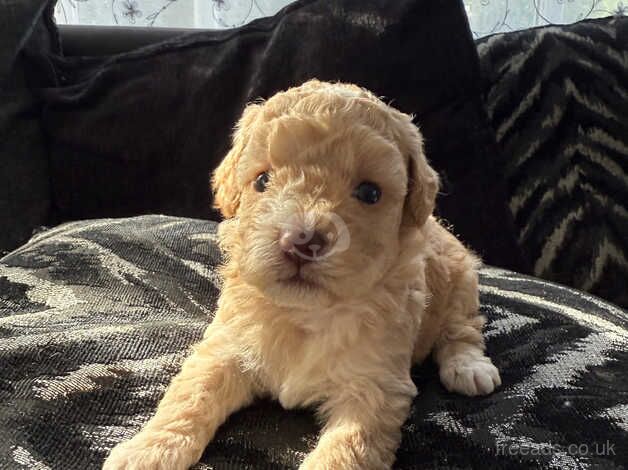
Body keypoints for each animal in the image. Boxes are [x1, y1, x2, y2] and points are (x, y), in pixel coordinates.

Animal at [103, 81, 500, 470]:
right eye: (262, 180)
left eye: (370, 192)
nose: (302, 240)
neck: (305, 314)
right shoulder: (226, 345)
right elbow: (191, 392)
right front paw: (149, 449)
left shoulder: (374, 385)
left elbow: (348, 448)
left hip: (461, 281)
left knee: (462, 330)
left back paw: (469, 367)